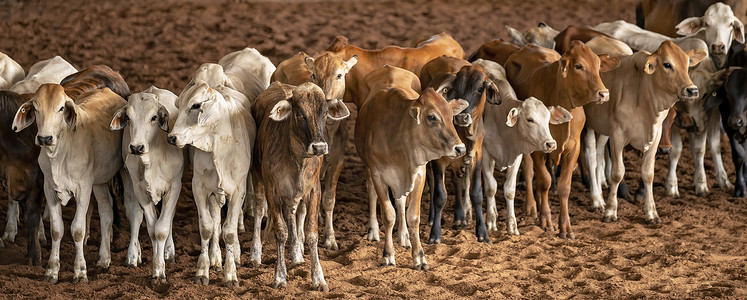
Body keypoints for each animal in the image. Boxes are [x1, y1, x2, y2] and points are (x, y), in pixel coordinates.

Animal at [11, 85, 125, 284]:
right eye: (36, 107)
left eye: (61, 108)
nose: (45, 138)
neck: (60, 153)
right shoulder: (49, 189)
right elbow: (56, 230)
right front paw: (51, 271)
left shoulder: (83, 189)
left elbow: (78, 230)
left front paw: (80, 272)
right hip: (100, 182)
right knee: (106, 212)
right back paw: (104, 259)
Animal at [110, 86, 185, 284]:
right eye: (128, 118)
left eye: (154, 117)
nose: (136, 147)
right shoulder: (140, 190)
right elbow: (152, 229)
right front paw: (157, 269)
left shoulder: (175, 186)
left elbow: (162, 228)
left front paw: (161, 267)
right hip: (129, 182)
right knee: (135, 215)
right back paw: (133, 256)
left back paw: (168, 251)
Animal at [166, 81, 254, 288]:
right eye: (179, 105)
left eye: (196, 105)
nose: (172, 138)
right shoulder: (199, 188)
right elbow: (207, 227)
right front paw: (202, 270)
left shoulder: (238, 190)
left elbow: (229, 231)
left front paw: (231, 274)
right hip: (213, 194)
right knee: (215, 222)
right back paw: (215, 258)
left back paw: (235, 254)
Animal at [474, 59, 572, 236]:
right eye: (529, 119)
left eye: (548, 119)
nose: (551, 144)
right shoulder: (486, 154)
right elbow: (491, 187)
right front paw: (491, 222)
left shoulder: (517, 155)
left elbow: (509, 190)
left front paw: (512, 226)